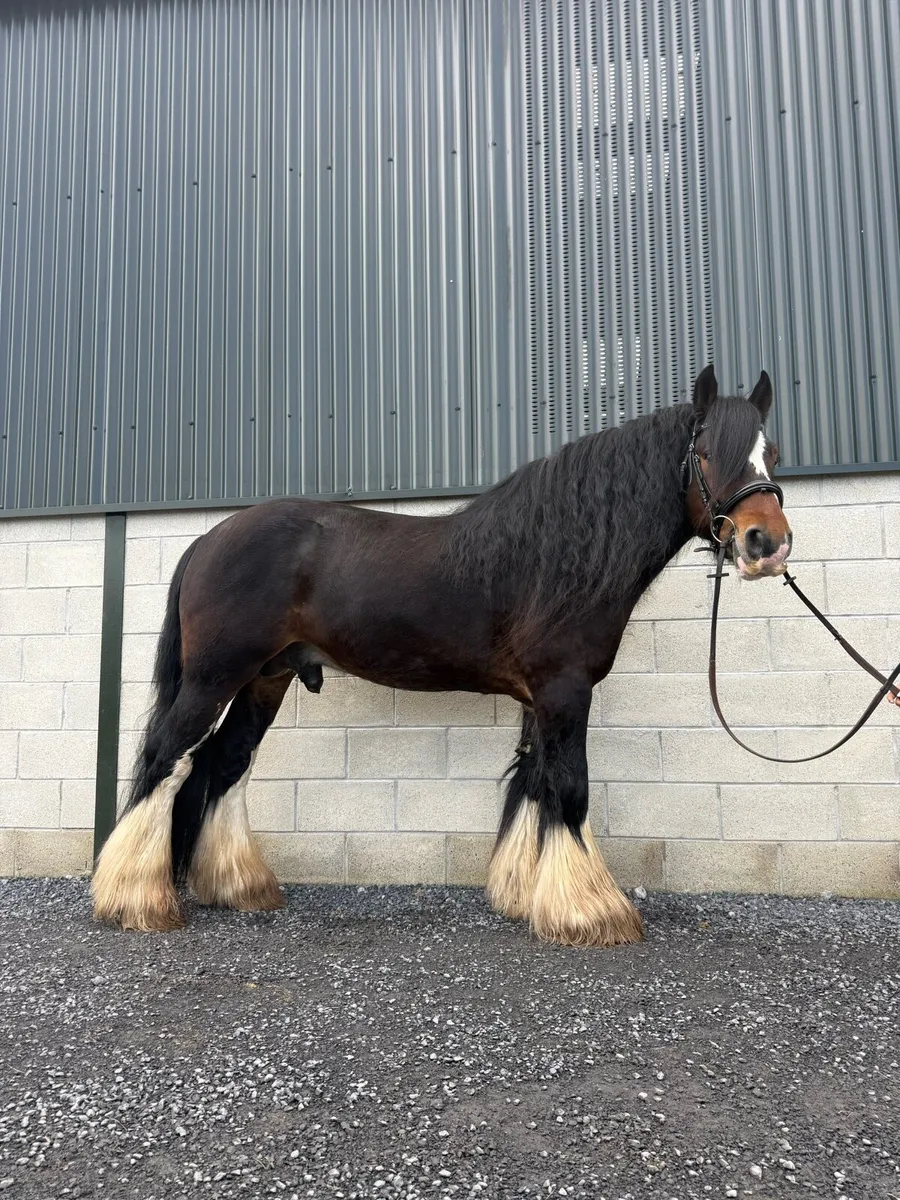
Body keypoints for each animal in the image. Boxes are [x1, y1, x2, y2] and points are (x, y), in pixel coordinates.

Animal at [92, 366, 792, 946]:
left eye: (772, 454)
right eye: (707, 453)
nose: (767, 543)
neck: (558, 556)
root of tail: (210, 537)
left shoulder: (540, 700)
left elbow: (533, 783)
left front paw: (525, 896)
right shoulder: (565, 690)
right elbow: (569, 788)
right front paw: (590, 912)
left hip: (265, 680)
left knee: (225, 761)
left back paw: (239, 887)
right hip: (215, 677)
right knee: (166, 757)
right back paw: (133, 900)